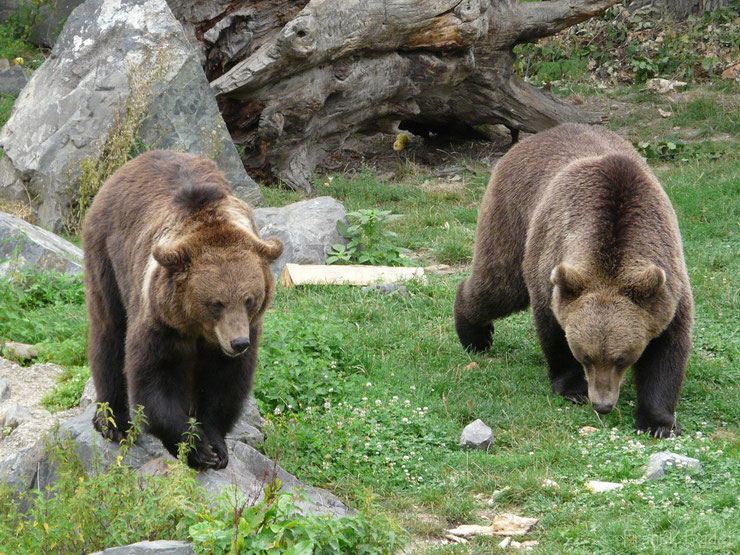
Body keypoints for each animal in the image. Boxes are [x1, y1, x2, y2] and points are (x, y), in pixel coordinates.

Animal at [82, 151, 282, 470]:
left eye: (249, 299)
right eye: (216, 303)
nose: (238, 343)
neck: (198, 329)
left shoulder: (243, 331)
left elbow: (225, 383)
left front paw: (216, 446)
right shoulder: (161, 321)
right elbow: (154, 377)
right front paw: (196, 448)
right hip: (107, 255)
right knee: (108, 331)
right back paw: (113, 421)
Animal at [456, 122, 692, 438]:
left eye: (622, 358)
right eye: (585, 357)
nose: (602, 404)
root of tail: (537, 137)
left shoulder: (668, 283)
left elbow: (667, 350)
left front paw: (658, 422)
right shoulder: (553, 267)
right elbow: (554, 328)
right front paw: (572, 387)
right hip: (512, 216)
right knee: (499, 285)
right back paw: (475, 335)